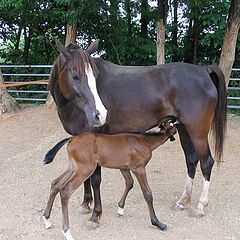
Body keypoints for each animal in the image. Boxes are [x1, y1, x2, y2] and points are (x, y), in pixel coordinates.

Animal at [42, 122, 176, 240]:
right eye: (173, 125)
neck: (144, 142)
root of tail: (72, 139)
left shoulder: (124, 168)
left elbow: (129, 183)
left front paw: (121, 209)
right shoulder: (139, 168)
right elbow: (147, 194)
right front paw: (158, 223)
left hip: (73, 167)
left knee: (55, 183)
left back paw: (47, 220)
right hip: (85, 169)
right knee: (65, 191)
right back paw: (67, 233)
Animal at [48, 39, 227, 227]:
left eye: (94, 77)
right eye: (75, 76)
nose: (100, 114)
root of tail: (204, 70)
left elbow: (95, 179)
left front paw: (96, 215)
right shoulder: (82, 139)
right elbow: (86, 177)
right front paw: (85, 204)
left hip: (198, 131)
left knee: (206, 162)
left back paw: (200, 206)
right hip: (184, 128)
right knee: (191, 160)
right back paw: (183, 200)